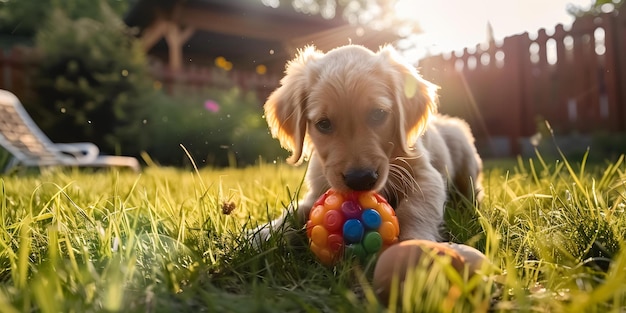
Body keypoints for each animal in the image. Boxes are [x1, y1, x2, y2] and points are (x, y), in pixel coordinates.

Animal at [254, 44, 482, 244]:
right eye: (323, 124)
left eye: (378, 114)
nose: (360, 179)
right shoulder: (318, 189)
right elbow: (295, 211)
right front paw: (262, 234)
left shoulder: (426, 176)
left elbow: (415, 208)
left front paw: (414, 243)